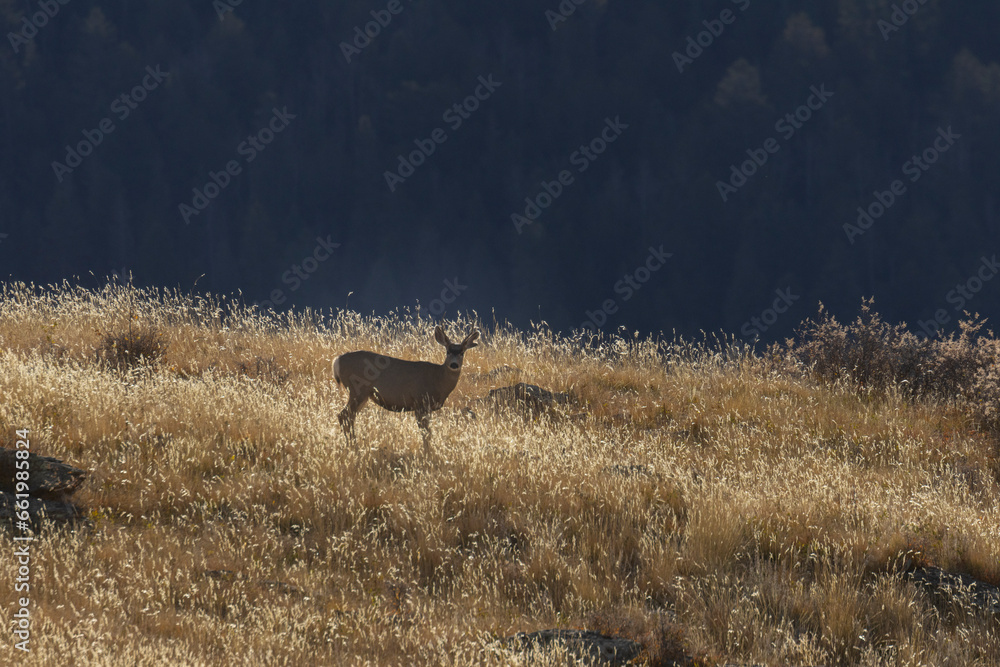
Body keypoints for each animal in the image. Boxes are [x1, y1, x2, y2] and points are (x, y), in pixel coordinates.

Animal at [333, 326, 479, 452]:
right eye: (448, 351)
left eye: (462, 352)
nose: (454, 365)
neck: (437, 378)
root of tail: (337, 360)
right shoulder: (420, 401)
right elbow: (426, 432)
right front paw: (427, 453)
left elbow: (427, 431)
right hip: (357, 390)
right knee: (344, 415)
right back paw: (354, 447)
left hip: (364, 395)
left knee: (349, 416)